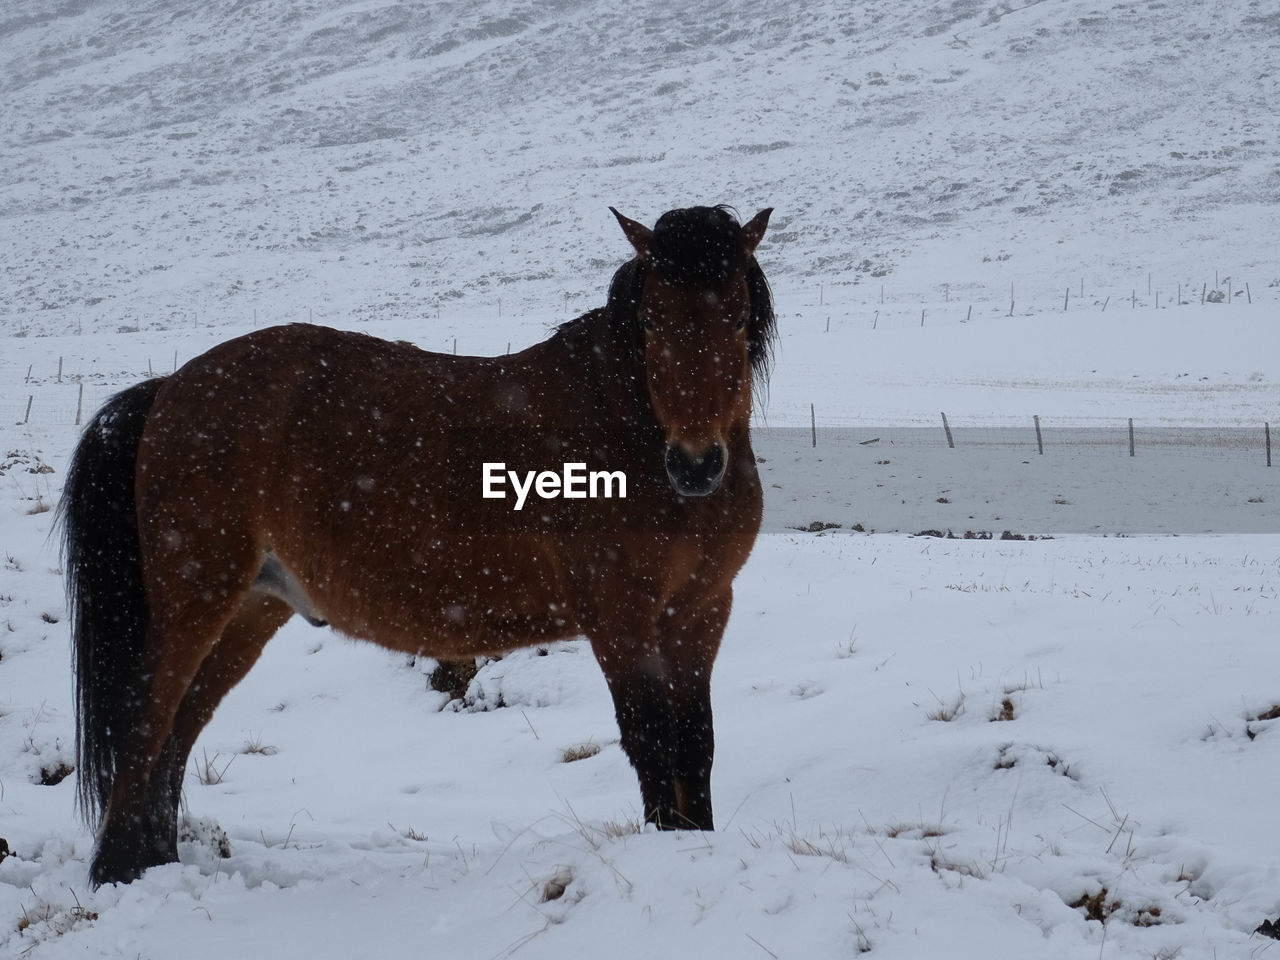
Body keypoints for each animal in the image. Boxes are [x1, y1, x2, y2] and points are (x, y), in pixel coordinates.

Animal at [60, 203, 773, 885]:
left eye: (737, 317)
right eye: (651, 320)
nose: (696, 464)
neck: (624, 433)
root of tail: (169, 388)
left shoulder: (701, 611)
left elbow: (695, 743)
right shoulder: (621, 619)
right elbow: (652, 740)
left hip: (251, 610)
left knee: (178, 732)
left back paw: (157, 863)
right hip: (195, 599)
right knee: (145, 722)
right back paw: (117, 875)